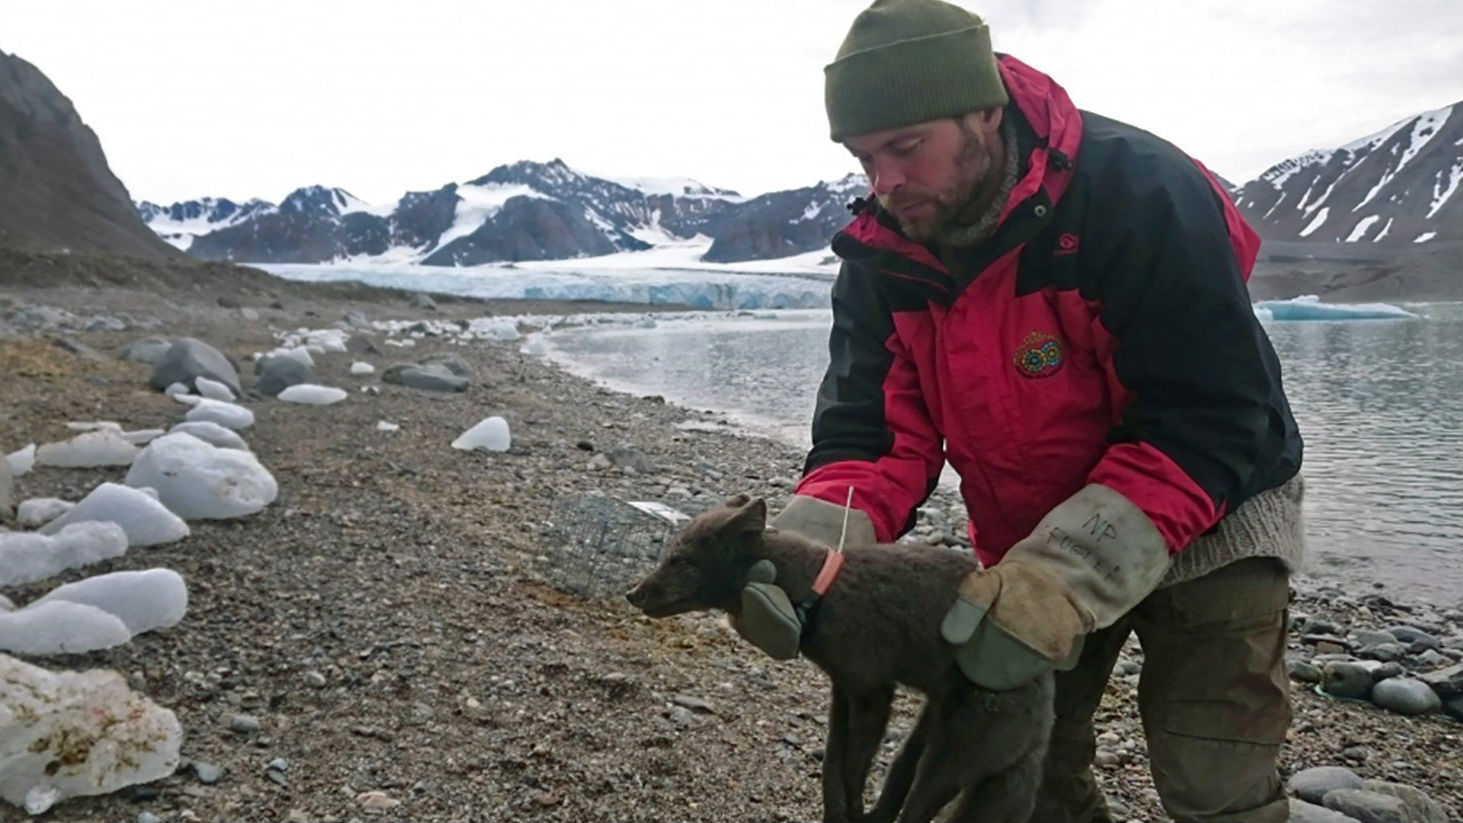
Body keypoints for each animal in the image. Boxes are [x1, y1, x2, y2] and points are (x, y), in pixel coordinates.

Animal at [626, 494, 1053, 823]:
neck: (820, 592)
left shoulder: (872, 693)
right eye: (669, 556)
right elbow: (832, 766)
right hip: (924, 736)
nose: (632, 593)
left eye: (682, 562)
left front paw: (850, 807)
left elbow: (851, 769)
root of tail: (1046, 703)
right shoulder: (842, 691)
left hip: (951, 757)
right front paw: (838, 811)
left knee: (918, 808)